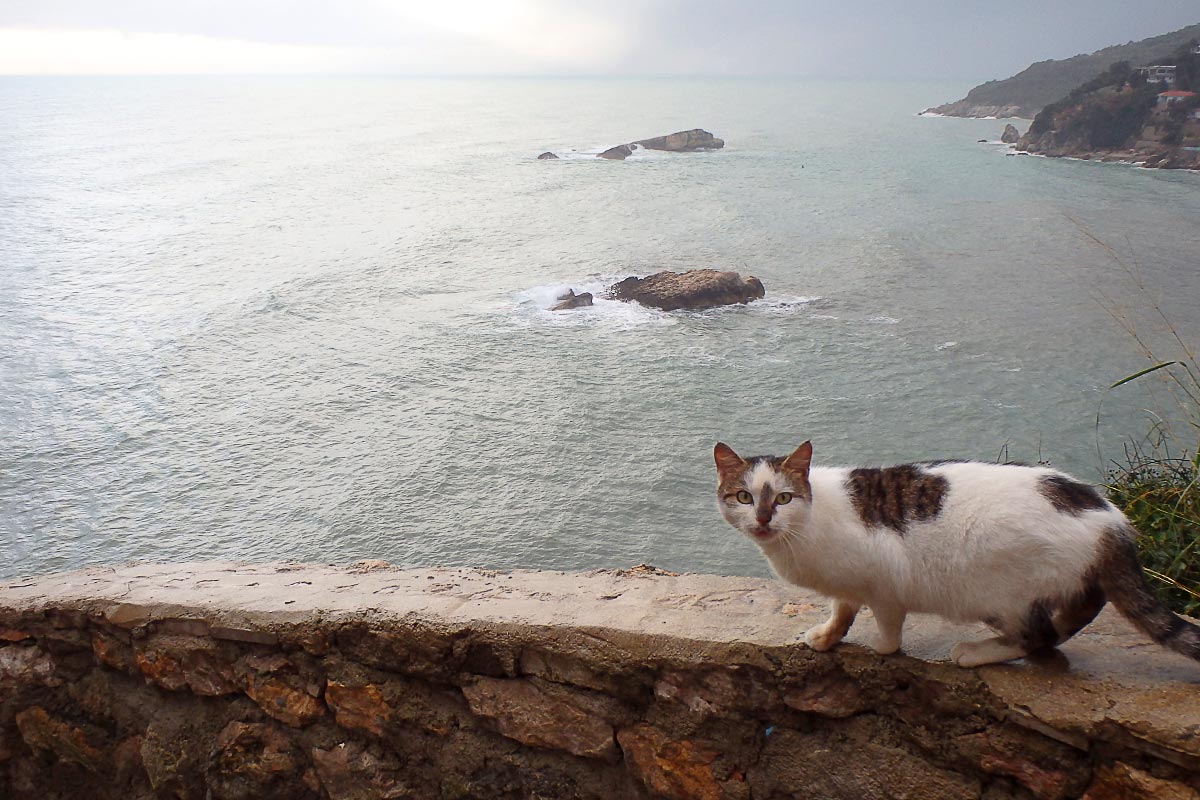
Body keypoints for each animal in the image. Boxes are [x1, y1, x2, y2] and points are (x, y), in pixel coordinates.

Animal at [710, 441, 1200, 666]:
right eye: (743, 497)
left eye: (784, 498)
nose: (763, 519)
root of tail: (1112, 519)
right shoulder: (848, 586)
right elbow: (843, 609)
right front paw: (829, 636)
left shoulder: (884, 582)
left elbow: (888, 628)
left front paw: (878, 647)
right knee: (1075, 615)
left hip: (1004, 591)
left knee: (1038, 635)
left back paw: (976, 652)